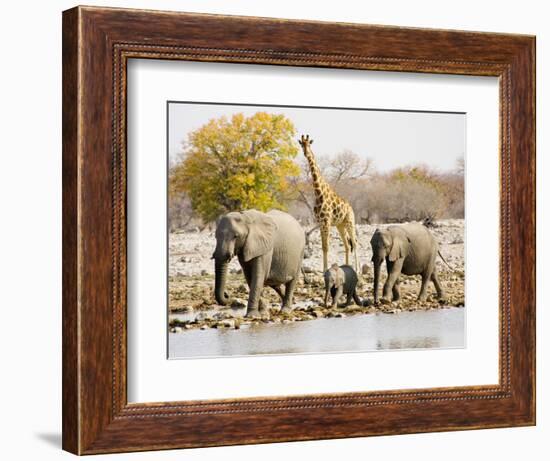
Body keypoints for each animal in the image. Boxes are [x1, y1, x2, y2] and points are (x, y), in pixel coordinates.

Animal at [300, 133, 360, 272]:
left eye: (309, 144)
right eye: (301, 144)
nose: (306, 153)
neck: (318, 193)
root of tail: (351, 208)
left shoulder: (326, 222)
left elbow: (326, 246)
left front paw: (325, 270)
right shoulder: (321, 222)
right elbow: (323, 247)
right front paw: (324, 269)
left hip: (350, 221)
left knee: (354, 243)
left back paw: (358, 269)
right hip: (340, 225)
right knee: (347, 245)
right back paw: (347, 267)